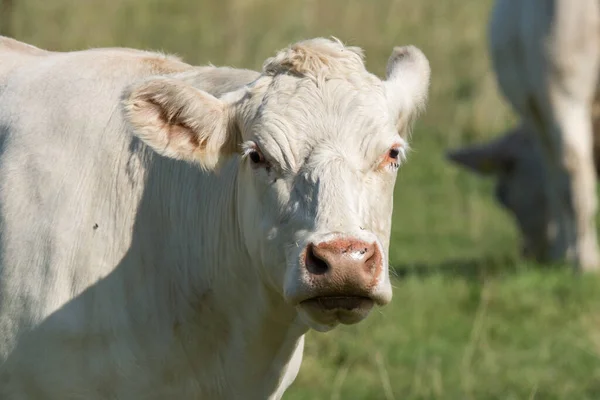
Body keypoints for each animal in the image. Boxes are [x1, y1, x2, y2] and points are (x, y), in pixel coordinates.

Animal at [446, 0, 600, 272]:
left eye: (503, 197)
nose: (529, 254)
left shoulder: (537, 117)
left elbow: (554, 181)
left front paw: (562, 251)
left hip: (560, 80)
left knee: (572, 169)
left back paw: (585, 261)